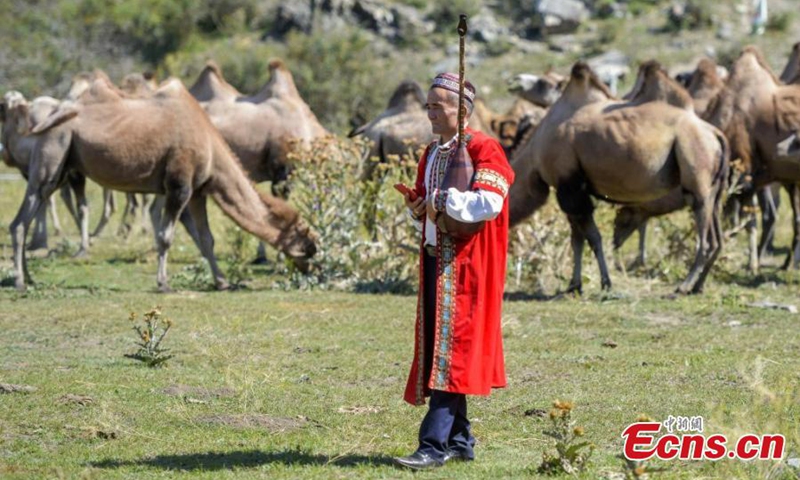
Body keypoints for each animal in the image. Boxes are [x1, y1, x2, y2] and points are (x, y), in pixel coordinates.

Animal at [9, 75, 318, 292]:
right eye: (306, 239)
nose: (313, 267)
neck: (211, 146)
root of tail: (51, 114)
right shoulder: (179, 186)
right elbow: (166, 236)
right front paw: (163, 283)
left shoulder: (198, 192)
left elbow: (206, 239)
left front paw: (222, 281)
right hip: (55, 149)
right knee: (22, 220)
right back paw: (21, 282)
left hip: (63, 164)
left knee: (23, 218)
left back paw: (30, 278)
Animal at [510, 60, 728, 292]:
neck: (534, 154)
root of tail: (715, 134)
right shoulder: (568, 189)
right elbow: (577, 239)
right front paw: (574, 285)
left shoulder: (569, 185)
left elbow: (592, 238)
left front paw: (605, 282)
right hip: (715, 189)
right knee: (717, 238)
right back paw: (698, 286)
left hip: (697, 169)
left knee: (705, 236)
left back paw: (684, 286)